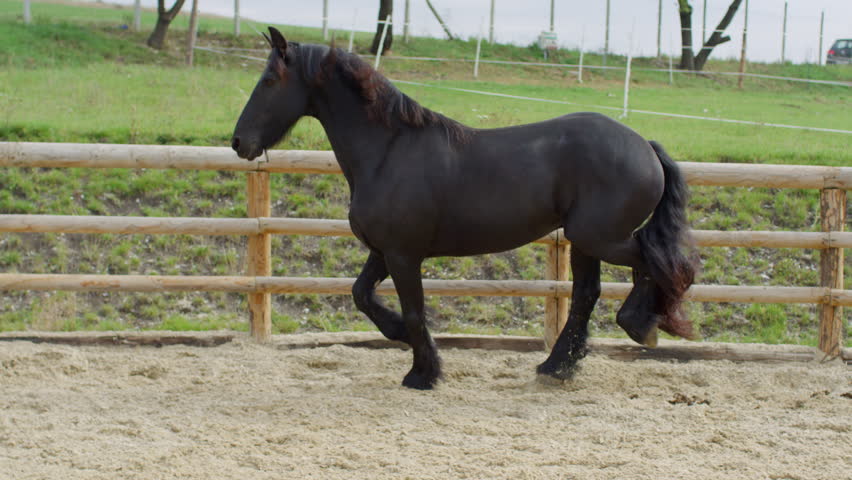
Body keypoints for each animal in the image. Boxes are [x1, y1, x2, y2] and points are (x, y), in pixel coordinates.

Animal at [231, 27, 697, 390]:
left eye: (270, 79)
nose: (239, 142)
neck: (387, 150)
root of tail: (645, 147)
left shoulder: (403, 255)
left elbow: (415, 311)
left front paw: (423, 373)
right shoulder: (383, 251)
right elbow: (362, 295)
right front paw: (404, 340)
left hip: (601, 237)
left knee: (661, 263)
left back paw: (639, 325)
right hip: (585, 240)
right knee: (588, 293)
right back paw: (557, 367)